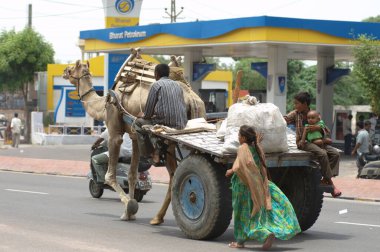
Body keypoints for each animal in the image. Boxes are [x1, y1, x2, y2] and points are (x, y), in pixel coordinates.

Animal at [62, 49, 205, 224]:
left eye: (71, 69)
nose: (63, 71)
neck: (103, 104)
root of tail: (192, 99)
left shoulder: (115, 131)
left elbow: (110, 175)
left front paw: (130, 206)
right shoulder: (135, 136)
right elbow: (132, 175)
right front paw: (128, 213)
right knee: (174, 174)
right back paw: (157, 218)